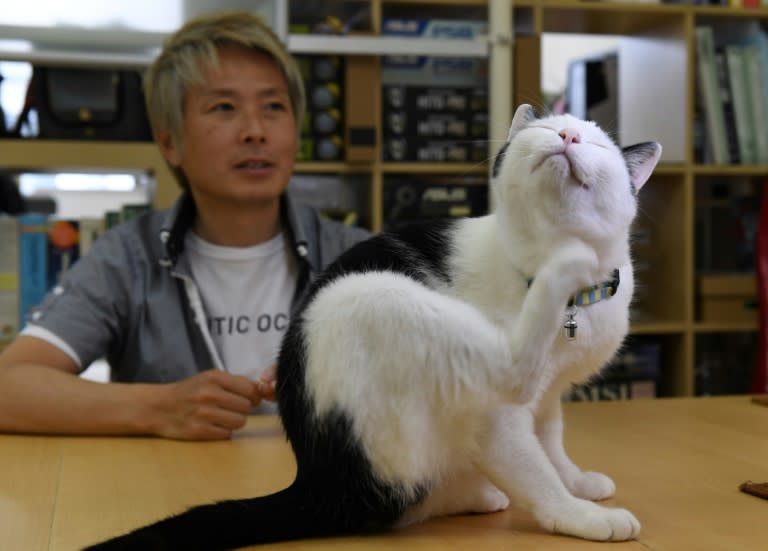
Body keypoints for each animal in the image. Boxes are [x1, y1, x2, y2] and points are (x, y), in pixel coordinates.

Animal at [88, 104, 660, 551]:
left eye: (597, 142)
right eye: (547, 128)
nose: (567, 137)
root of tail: (318, 483)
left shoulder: (551, 396)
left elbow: (552, 444)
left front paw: (577, 481)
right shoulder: (498, 420)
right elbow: (536, 473)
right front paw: (579, 514)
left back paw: (475, 493)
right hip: (378, 297)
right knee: (508, 372)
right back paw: (566, 266)